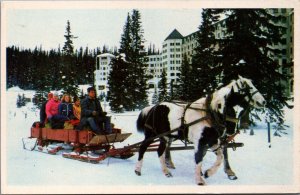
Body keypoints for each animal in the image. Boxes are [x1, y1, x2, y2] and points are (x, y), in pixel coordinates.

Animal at [135, 75, 266, 185]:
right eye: (249, 87)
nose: (263, 101)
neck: (208, 114)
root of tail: (153, 107)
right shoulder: (199, 142)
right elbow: (198, 158)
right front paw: (199, 180)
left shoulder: (212, 141)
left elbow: (220, 157)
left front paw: (208, 173)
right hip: (151, 134)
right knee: (143, 147)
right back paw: (138, 170)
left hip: (165, 137)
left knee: (160, 151)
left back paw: (166, 172)